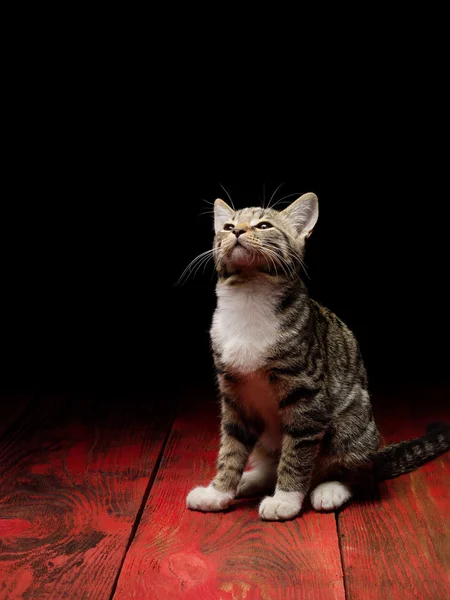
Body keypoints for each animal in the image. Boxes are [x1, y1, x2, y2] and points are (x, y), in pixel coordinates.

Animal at [185, 193, 448, 520]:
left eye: (263, 225)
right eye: (228, 226)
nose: (237, 231)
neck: (249, 296)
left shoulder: (306, 395)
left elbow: (297, 452)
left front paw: (285, 499)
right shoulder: (234, 396)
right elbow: (231, 447)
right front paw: (219, 492)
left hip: (352, 422)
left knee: (360, 475)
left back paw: (331, 489)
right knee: (271, 459)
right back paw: (253, 479)